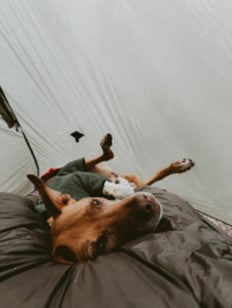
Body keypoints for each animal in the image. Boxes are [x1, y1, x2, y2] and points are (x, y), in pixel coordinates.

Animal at [27, 134, 195, 264]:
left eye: (95, 202)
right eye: (101, 245)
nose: (147, 204)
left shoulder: (82, 177)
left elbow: (116, 187)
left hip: (79, 166)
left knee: (107, 158)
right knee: (145, 181)